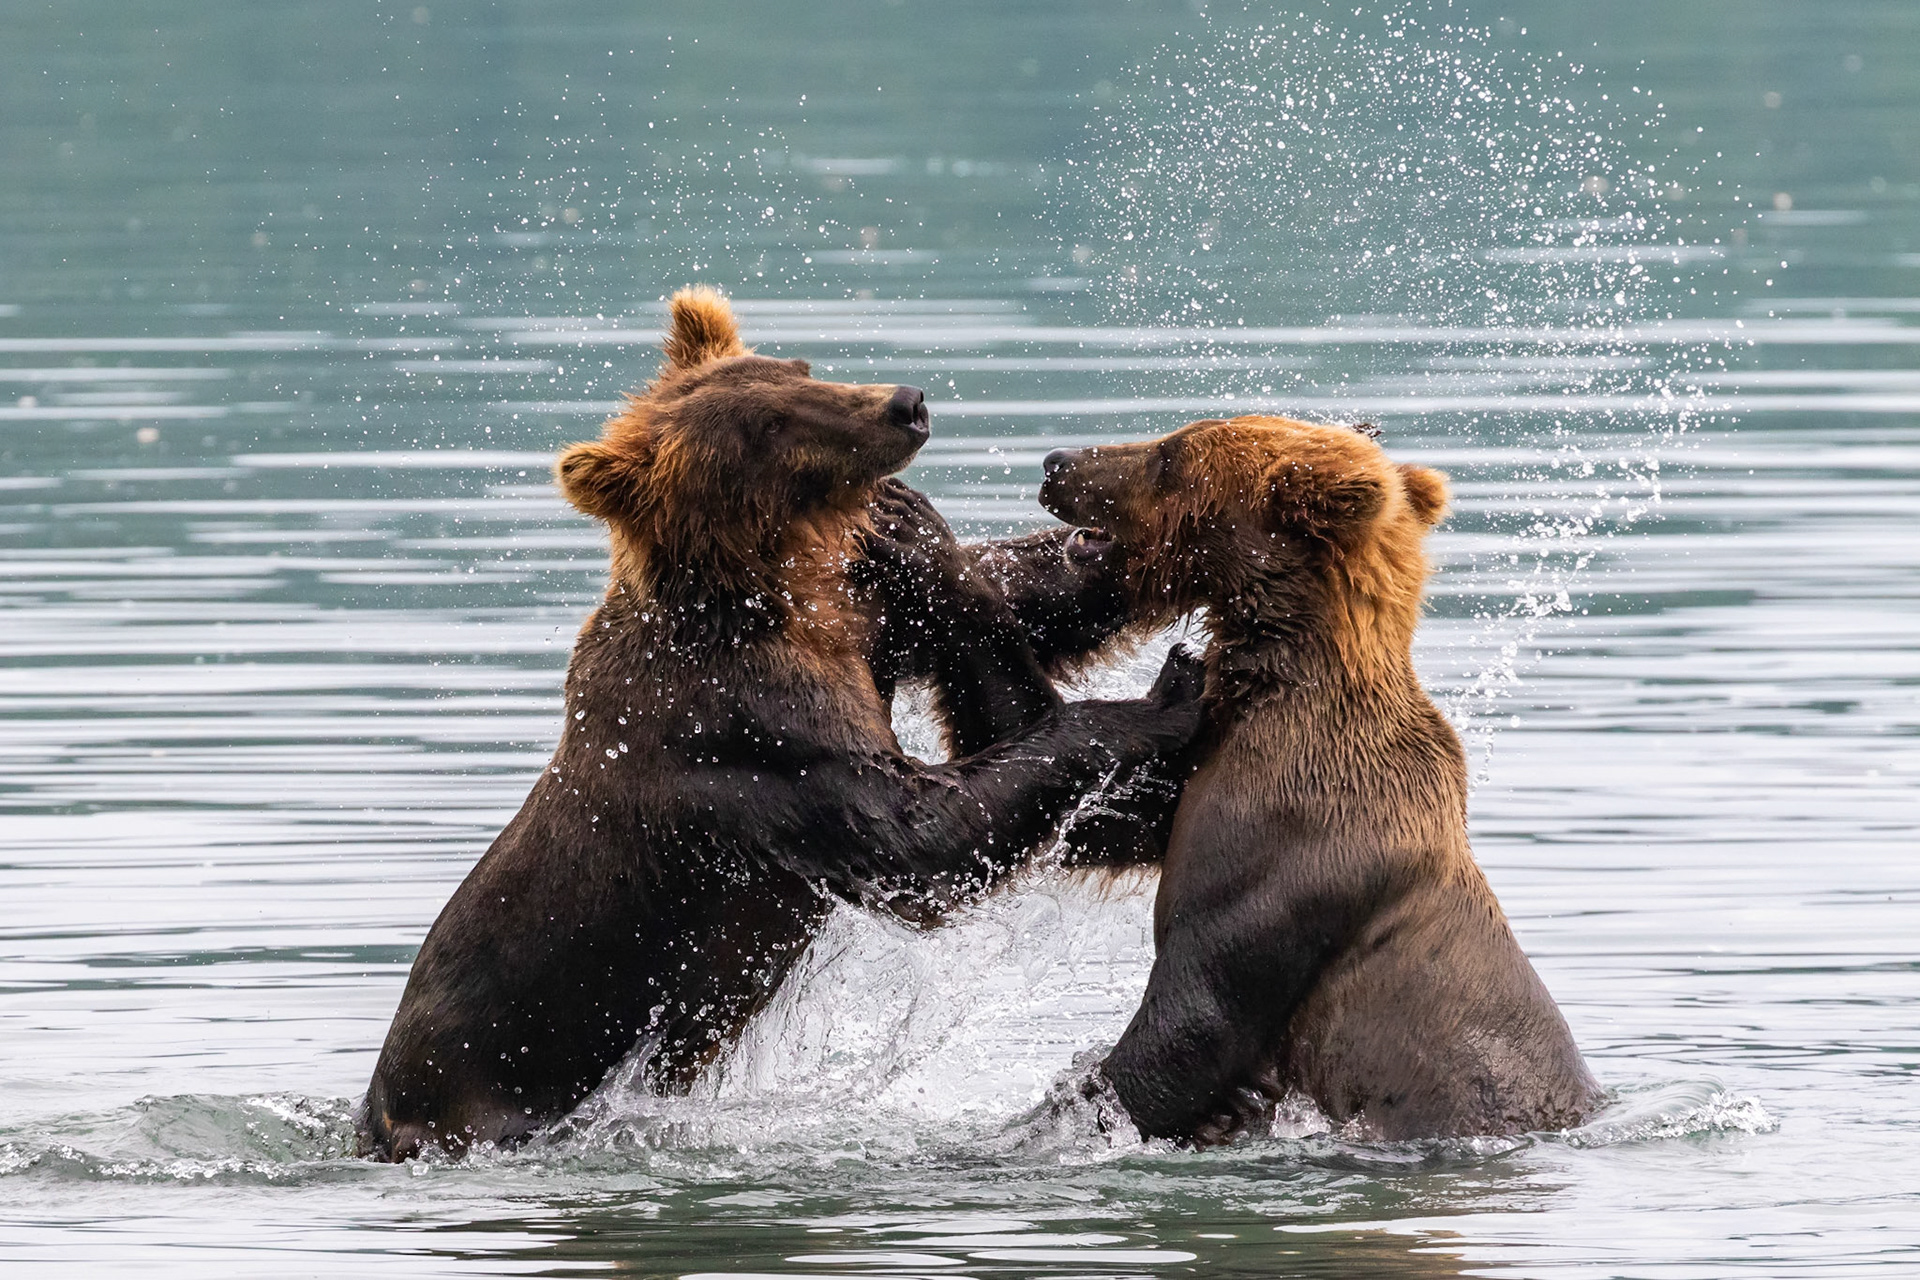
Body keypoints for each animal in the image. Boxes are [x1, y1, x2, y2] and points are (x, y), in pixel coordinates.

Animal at [355, 288, 1203, 1161]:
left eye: (798, 368)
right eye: (767, 424)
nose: (907, 403)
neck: (769, 594)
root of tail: (376, 1115)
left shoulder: (860, 620)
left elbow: (1012, 592)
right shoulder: (754, 726)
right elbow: (917, 835)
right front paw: (1168, 694)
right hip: (499, 1084)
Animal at [1037, 414, 1603, 1143]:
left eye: (1171, 455)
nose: (1056, 461)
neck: (1280, 688)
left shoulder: (1286, 848)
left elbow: (1197, 1013)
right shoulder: (1204, 773)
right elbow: (1109, 826)